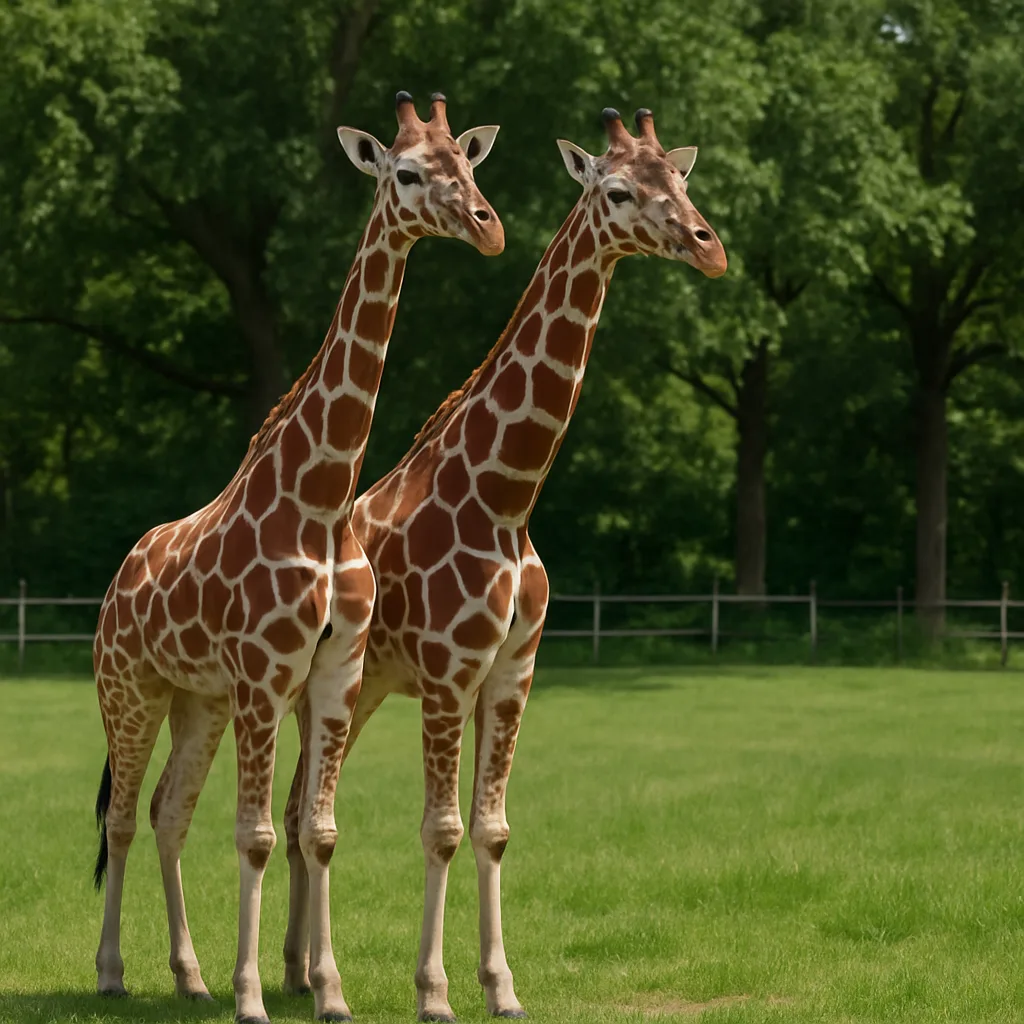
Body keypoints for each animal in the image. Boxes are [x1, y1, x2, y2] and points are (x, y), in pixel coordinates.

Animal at [89, 91, 504, 1024]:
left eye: (469, 170)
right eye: (407, 173)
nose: (488, 227)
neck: (319, 498)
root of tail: (116, 582)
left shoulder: (331, 671)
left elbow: (315, 831)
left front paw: (329, 993)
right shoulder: (266, 672)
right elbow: (255, 836)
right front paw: (255, 997)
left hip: (197, 700)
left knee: (168, 812)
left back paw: (189, 975)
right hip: (129, 690)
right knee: (123, 818)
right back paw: (113, 972)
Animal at [281, 107, 727, 1021]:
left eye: (683, 179)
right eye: (619, 190)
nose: (711, 249)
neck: (505, 497)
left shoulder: (514, 671)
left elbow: (492, 830)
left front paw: (503, 986)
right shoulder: (450, 673)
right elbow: (441, 829)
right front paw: (434, 992)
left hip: (359, 689)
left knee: (306, 805)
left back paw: (301, 973)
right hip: (327, 687)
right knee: (304, 809)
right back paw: (307, 976)